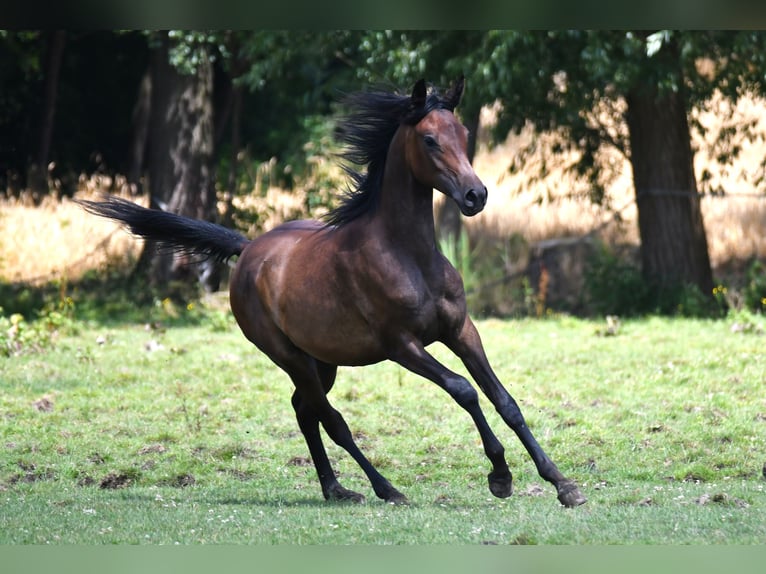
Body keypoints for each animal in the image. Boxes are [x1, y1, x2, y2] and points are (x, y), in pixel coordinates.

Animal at [79, 76, 588, 508]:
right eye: (429, 140)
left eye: (463, 134)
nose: (474, 195)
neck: (410, 255)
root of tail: (248, 249)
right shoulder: (402, 345)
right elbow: (464, 391)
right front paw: (500, 475)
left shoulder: (462, 331)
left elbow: (505, 401)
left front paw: (563, 485)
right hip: (288, 355)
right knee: (331, 418)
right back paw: (385, 489)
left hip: (322, 361)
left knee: (305, 411)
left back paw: (335, 489)